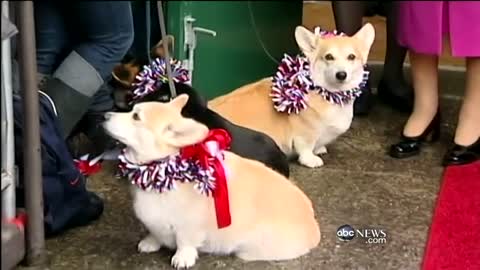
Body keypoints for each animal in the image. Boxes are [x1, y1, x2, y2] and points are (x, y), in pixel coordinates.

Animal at [102, 95, 318, 268]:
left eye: (136, 116)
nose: (104, 115)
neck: (159, 169)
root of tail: (314, 229)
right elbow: (155, 232)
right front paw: (151, 242)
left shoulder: (190, 225)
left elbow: (185, 241)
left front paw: (182, 258)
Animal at [209, 23, 376, 168]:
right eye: (328, 57)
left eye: (351, 57)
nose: (341, 75)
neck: (328, 94)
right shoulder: (304, 135)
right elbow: (306, 148)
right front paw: (311, 159)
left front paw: (320, 149)